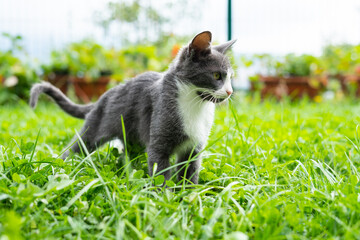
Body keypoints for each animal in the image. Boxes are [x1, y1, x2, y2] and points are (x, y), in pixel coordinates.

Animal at [29, 31, 235, 184]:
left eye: (230, 77)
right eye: (217, 75)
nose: (230, 91)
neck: (196, 105)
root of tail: (103, 97)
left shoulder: (194, 148)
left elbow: (190, 174)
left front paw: (188, 196)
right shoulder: (159, 141)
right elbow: (160, 172)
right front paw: (165, 198)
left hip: (132, 139)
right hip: (95, 129)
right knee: (76, 147)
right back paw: (60, 166)